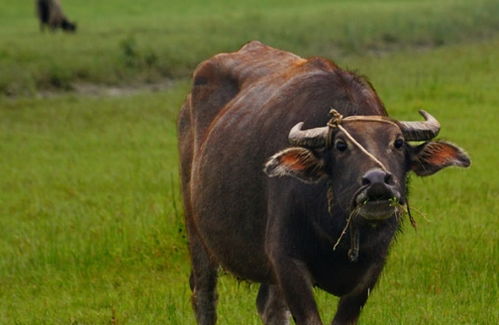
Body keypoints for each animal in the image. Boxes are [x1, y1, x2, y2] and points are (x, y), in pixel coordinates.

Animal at [178, 41, 470, 324]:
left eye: (398, 143)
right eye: (340, 146)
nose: (377, 182)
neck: (336, 227)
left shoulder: (372, 267)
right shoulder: (287, 261)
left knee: (270, 307)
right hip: (196, 229)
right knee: (204, 295)